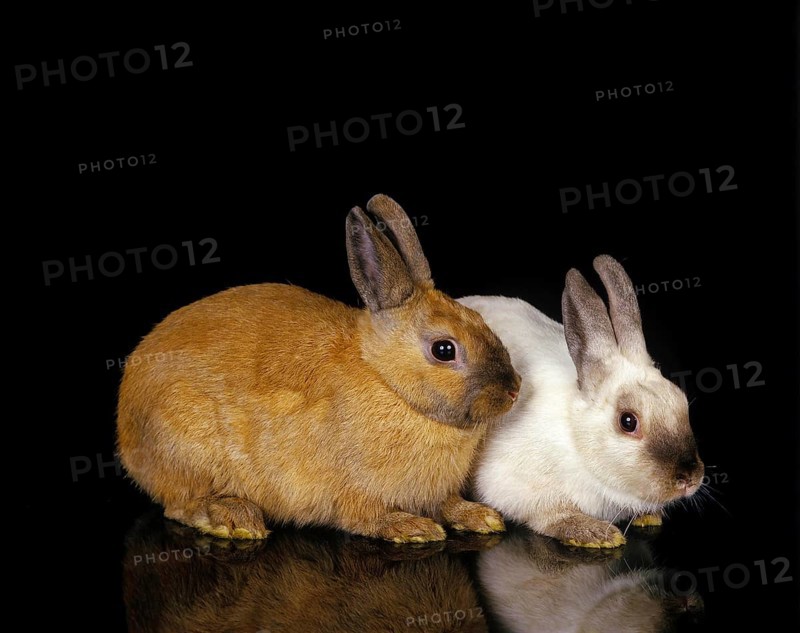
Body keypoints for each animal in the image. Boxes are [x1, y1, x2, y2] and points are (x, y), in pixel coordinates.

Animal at [116, 194, 521, 544]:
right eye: (444, 349)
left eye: (479, 319)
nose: (514, 389)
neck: (388, 383)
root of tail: (126, 421)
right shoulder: (354, 492)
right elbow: (367, 517)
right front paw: (411, 528)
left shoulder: (438, 492)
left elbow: (449, 504)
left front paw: (481, 517)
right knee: (180, 504)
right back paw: (233, 519)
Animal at [458, 255, 704, 548]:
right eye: (628, 421)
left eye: (681, 401)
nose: (690, 478)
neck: (575, 437)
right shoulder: (515, 484)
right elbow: (552, 515)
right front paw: (593, 533)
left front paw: (649, 516)